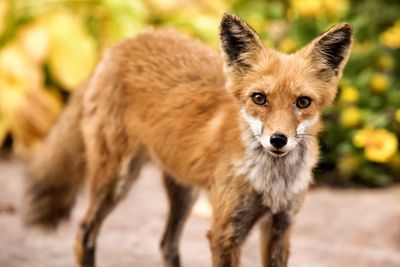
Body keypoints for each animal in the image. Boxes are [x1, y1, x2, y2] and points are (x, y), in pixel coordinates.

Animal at [24, 14, 354, 267]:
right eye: (259, 98)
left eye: (303, 102)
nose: (278, 140)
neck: (271, 183)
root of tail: (121, 45)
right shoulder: (225, 231)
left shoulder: (280, 226)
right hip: (116, 180)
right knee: (85, 231)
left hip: (184, 190)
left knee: (166, 244)